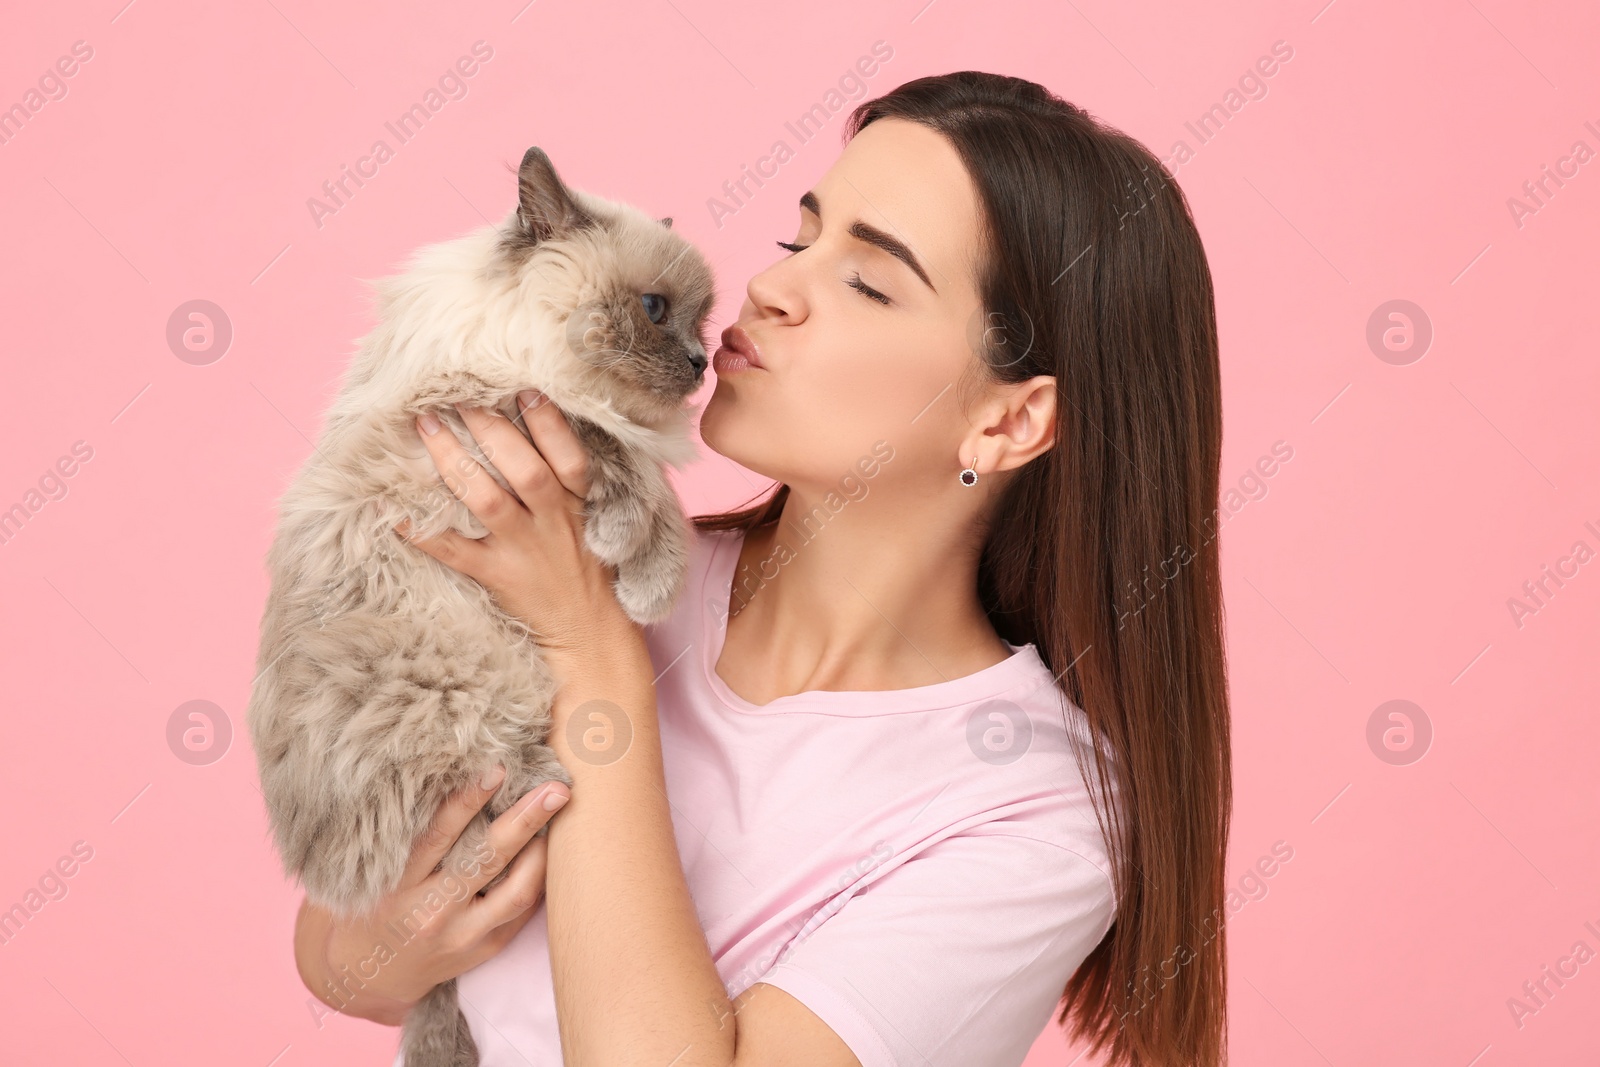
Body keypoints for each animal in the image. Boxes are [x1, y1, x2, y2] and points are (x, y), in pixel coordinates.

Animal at [244, 147, 720, 1067]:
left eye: (703, 323)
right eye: (654, 309)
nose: (699, 363)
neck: (517, 338)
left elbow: (642, 470)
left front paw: (643, 573)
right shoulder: (493, 410)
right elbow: (627, 460)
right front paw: (648, 570)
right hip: (462, 674)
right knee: (470, 796)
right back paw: (547, 785)